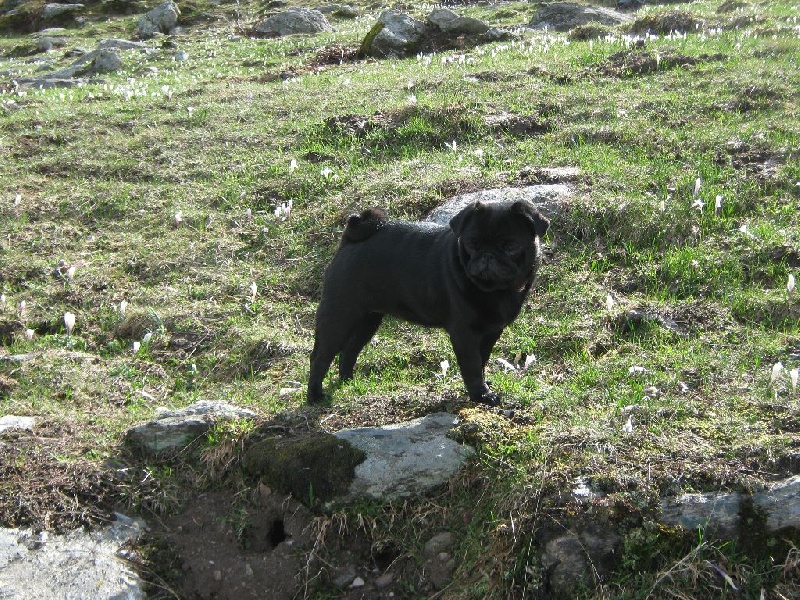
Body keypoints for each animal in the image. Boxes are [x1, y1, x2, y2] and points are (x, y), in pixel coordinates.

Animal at [308, 199, 552, 406]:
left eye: (510, 246)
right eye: (472, 244)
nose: (487, 256)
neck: (495, 290)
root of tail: (350, 237)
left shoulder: (491, 332)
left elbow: (482, 359)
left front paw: (482, 386)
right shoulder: (465, 333)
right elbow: (472, 364)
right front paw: (480, 394)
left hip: (368, 320)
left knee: (350, 350)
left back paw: (347, 381)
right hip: (340, 315)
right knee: (320, 357)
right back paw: (315, 396)